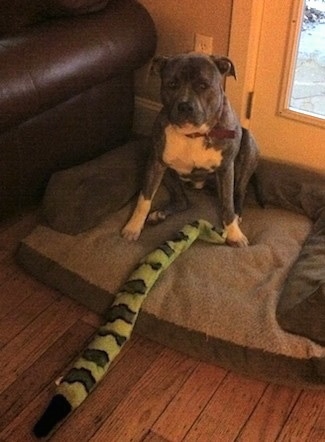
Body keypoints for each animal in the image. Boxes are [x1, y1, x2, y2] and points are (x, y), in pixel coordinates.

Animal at [121, 52, 258, 247]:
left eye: (203, 85)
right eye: (172, 84)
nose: (185, 106)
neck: (193, 134)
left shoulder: (226, 169)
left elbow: (227, 204)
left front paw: (234, 234)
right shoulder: (155, 162)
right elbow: (144, 198)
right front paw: (133, 226)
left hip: (249, 145)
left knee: (239, 192)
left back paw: (238, 215)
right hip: (167, 172)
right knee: (182, 201)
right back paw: (160, 214)